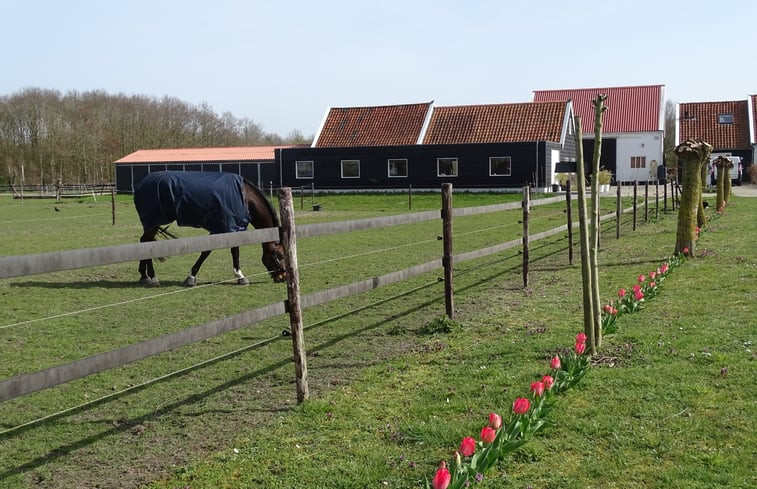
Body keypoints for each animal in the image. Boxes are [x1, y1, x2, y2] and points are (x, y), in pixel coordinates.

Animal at [133, 171, 286, 286]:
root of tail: (142, 184)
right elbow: (222, 251)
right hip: (153, 222)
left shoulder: (225, 228)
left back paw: (144, 275)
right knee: (147, 243)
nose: (283, 277)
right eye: (281, 255)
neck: (244, 198)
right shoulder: (228, 228)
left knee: (144, 242)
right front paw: (240, 276)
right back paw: (153, 277)